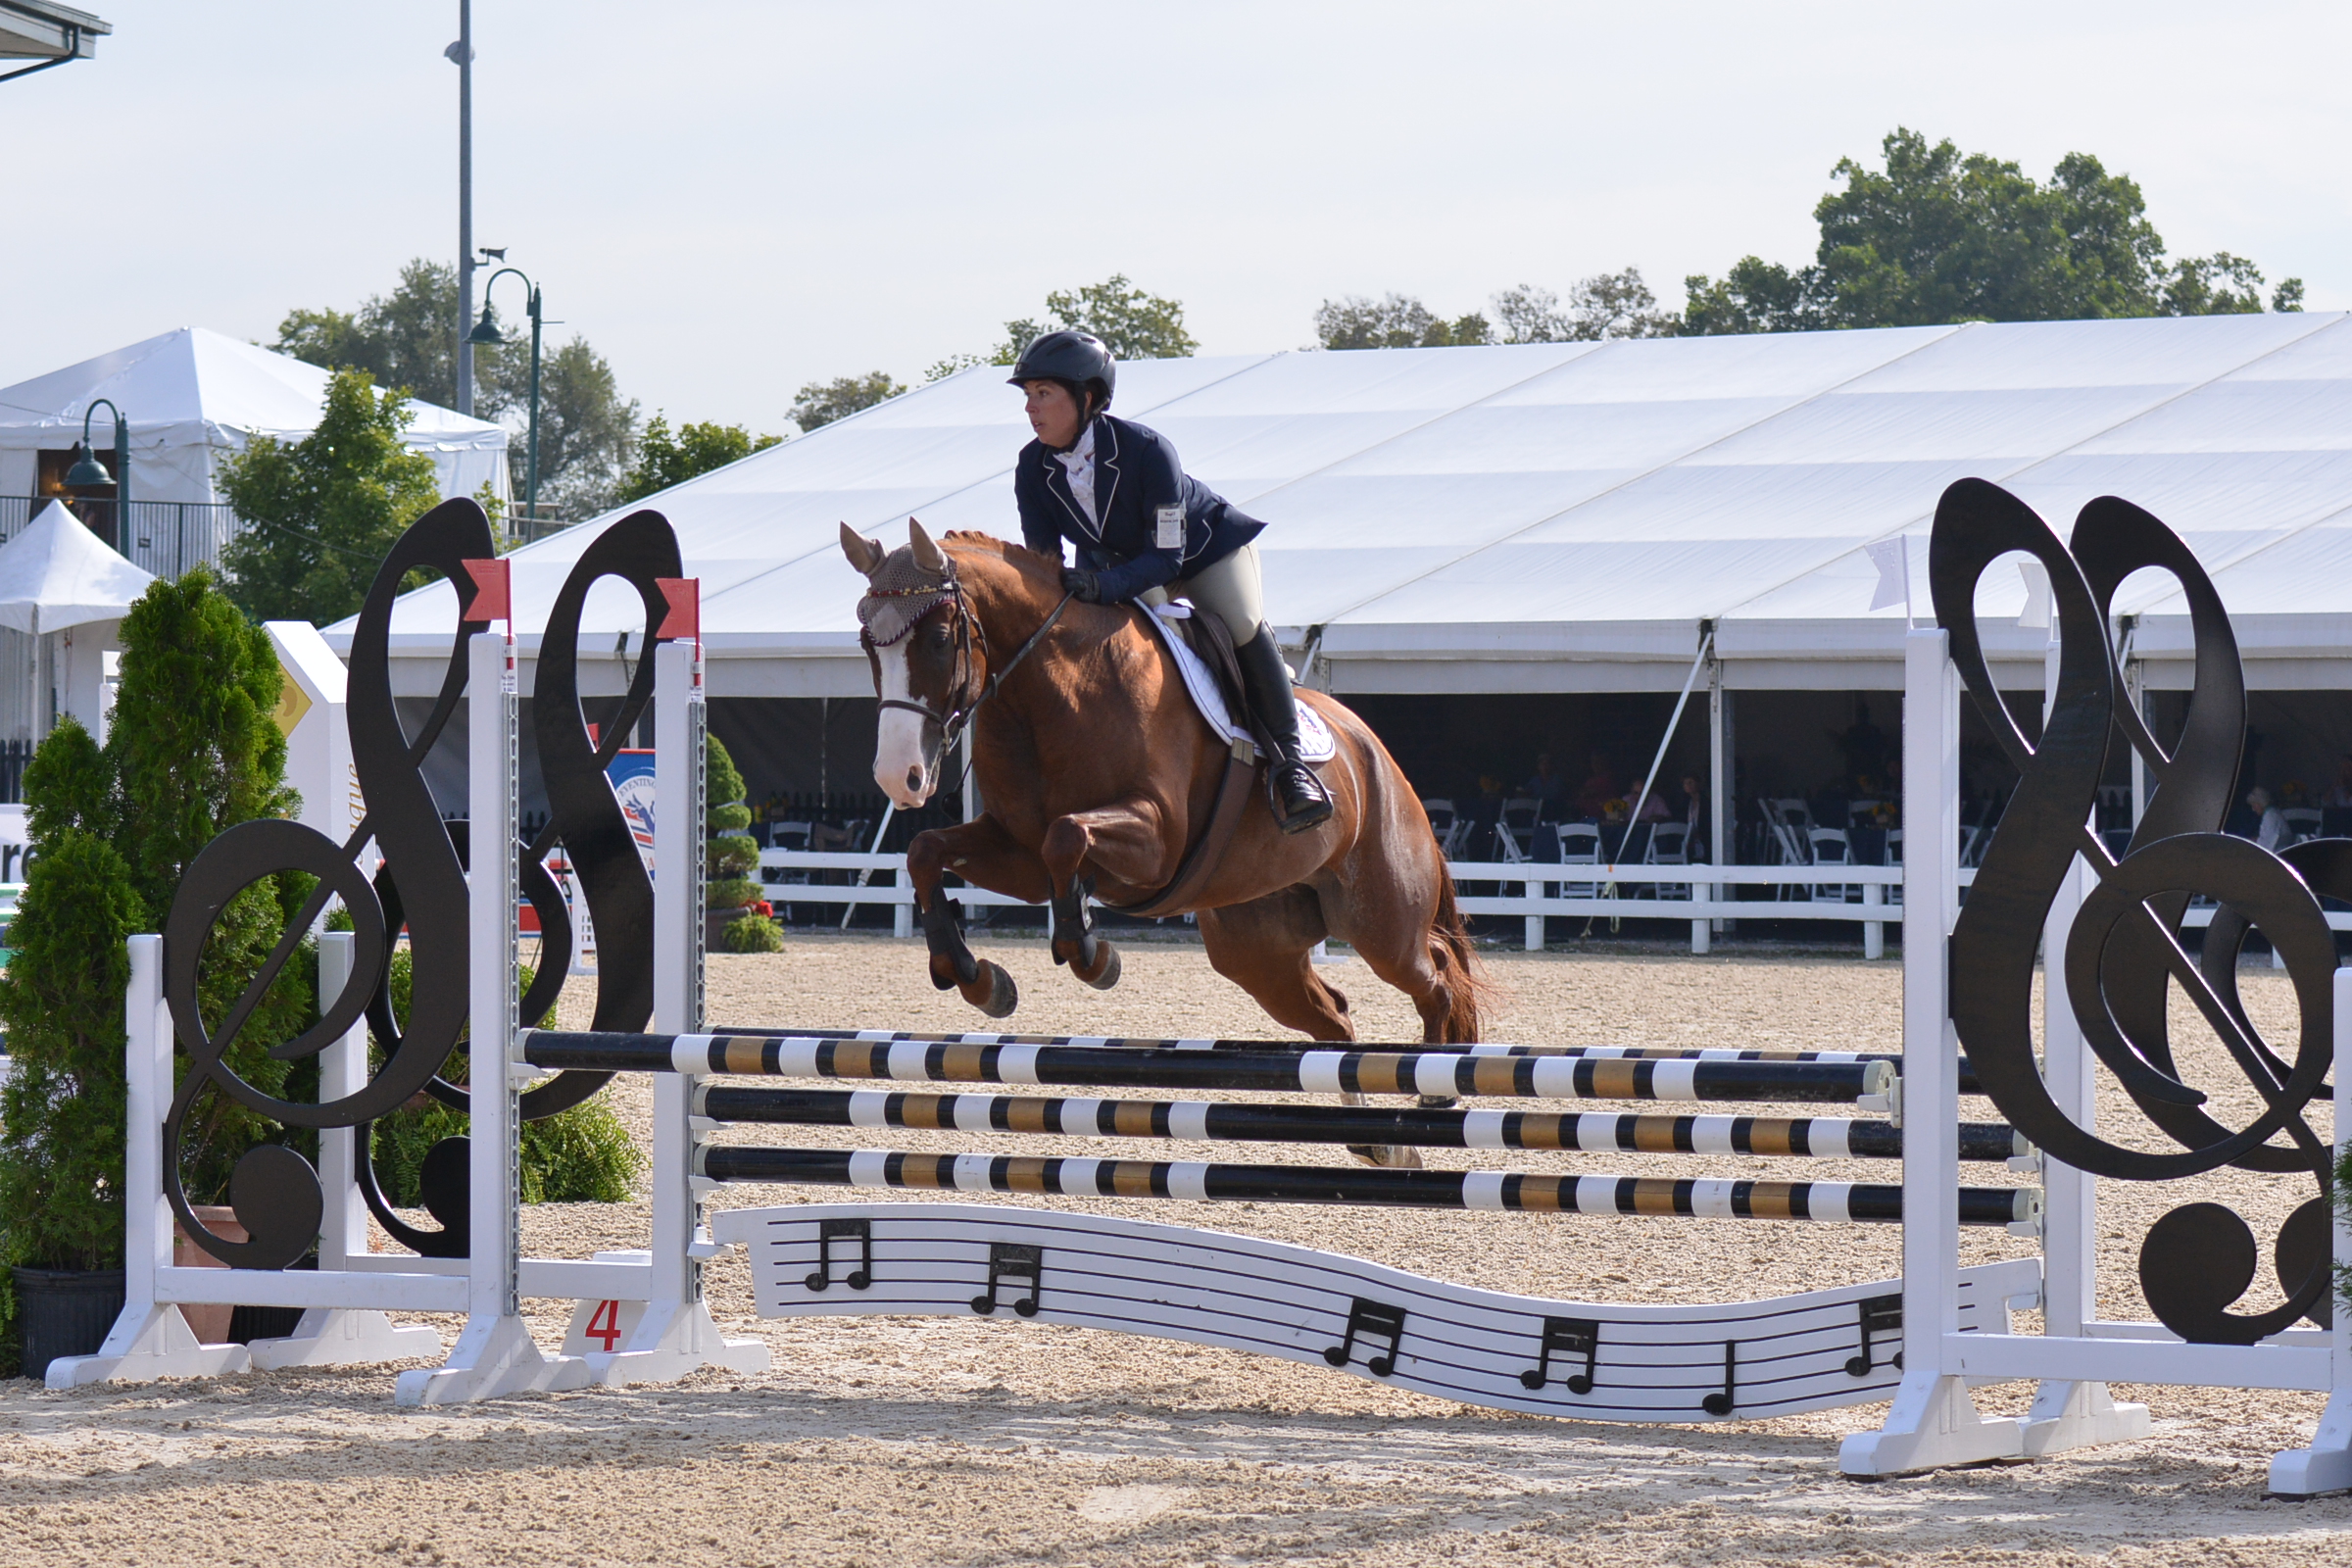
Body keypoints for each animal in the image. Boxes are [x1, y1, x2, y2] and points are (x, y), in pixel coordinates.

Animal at [837, 516, 1477, 1053]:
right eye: (867, 644)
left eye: (941, 639)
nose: (899, 776)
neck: (1047, 697)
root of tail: (1376, 753)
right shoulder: (1018, 854)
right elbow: (926, 851)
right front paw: (976, 977)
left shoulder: (1156, 841)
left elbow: (1067, 836)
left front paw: (1092, 955)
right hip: (1257, 949)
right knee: (1335, 1018)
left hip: (1379, 920)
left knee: (1436, 973)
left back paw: (1436, 1083)